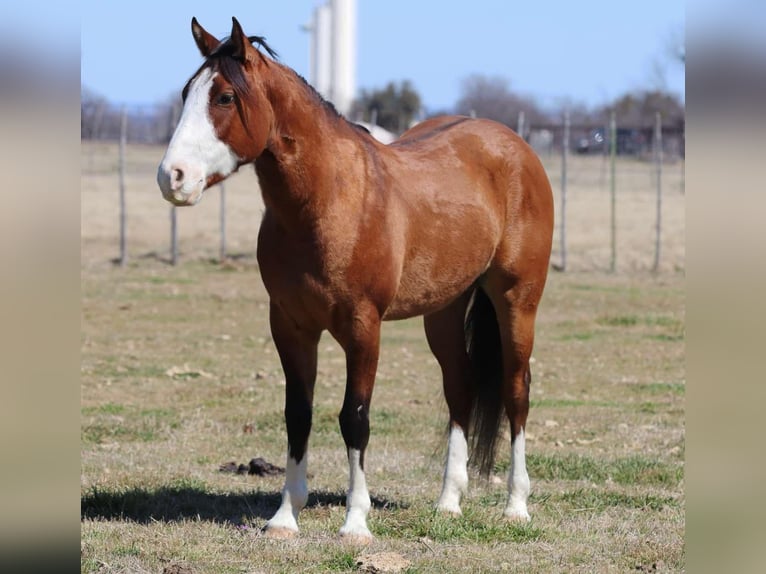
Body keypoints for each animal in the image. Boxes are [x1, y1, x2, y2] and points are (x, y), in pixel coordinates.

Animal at [157, 17, 554, 543]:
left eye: (223, 97)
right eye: (187, 93)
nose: (172, 177)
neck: (329, 201)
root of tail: (514, 146)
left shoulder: (364, 327)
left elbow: (355, 418)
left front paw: (356, 521)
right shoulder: (290, 325)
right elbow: (298, 414)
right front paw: (285, 516)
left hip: (516, 301)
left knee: (515, 391)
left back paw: (516, 506)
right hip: (445, 310)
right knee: (460, 387)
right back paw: (448, 503)